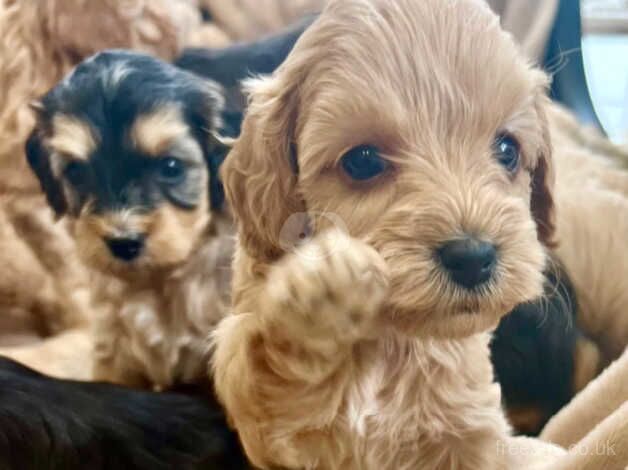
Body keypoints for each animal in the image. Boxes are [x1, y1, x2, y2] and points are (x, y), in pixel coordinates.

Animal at [213, 1, 628, 468]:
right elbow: (266, 364)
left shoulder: (468, 426)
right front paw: (322, 294)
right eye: (362, 160)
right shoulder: (267, 416)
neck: (393, 344)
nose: (473, 257)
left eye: (507, 150)